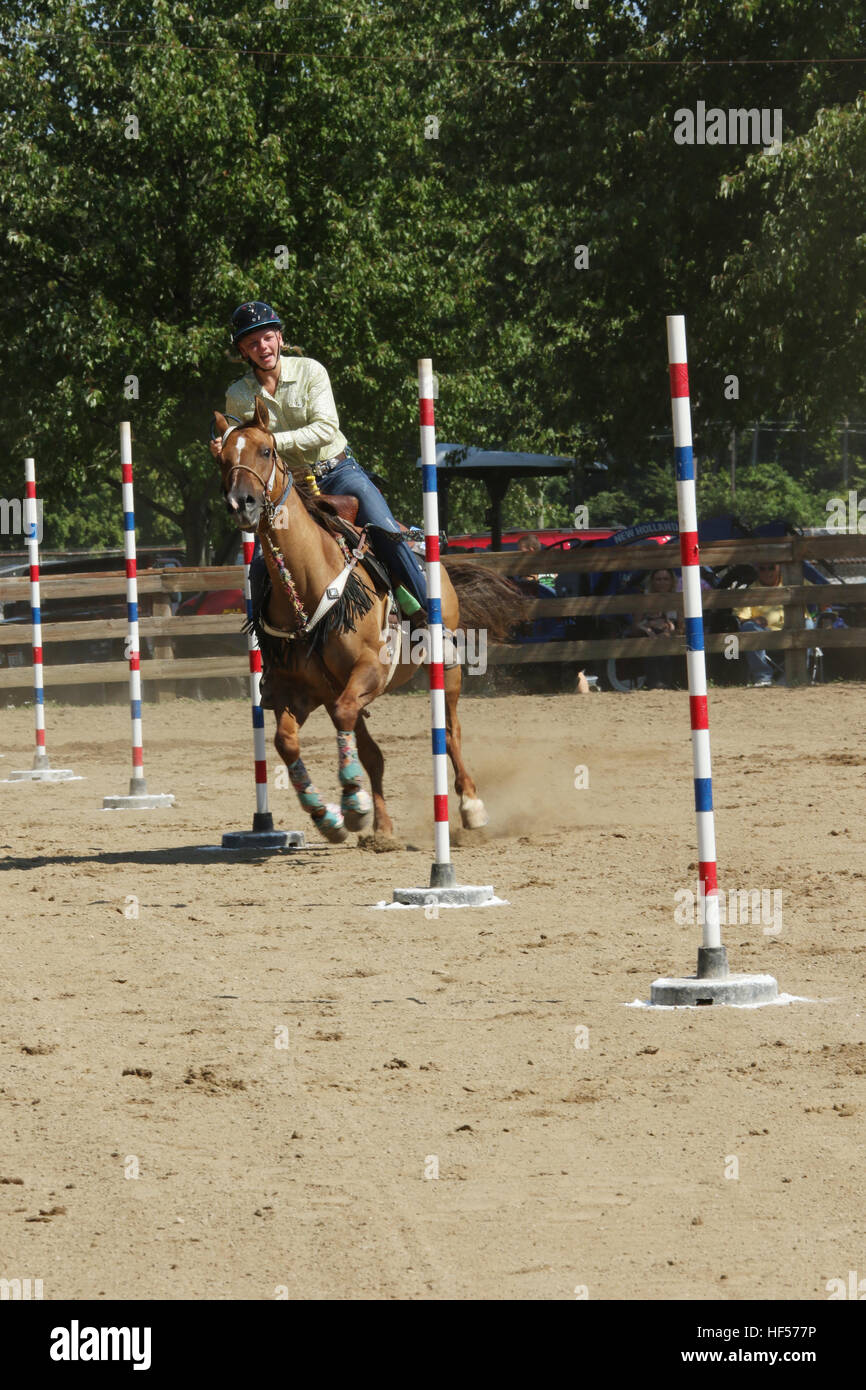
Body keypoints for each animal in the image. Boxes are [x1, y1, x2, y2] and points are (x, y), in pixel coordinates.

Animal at [211, 400, 522, 845]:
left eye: (266, 451)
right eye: (221, 458)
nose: (243, 503)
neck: (309, 585)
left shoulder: (370, 669)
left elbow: (348, 722)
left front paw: (352, 803)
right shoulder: (301, 691)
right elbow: (287, 741)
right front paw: (329, 814)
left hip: (447, 670)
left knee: (451, 732)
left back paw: (470, 806)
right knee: (372, 750)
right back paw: (382, 828)